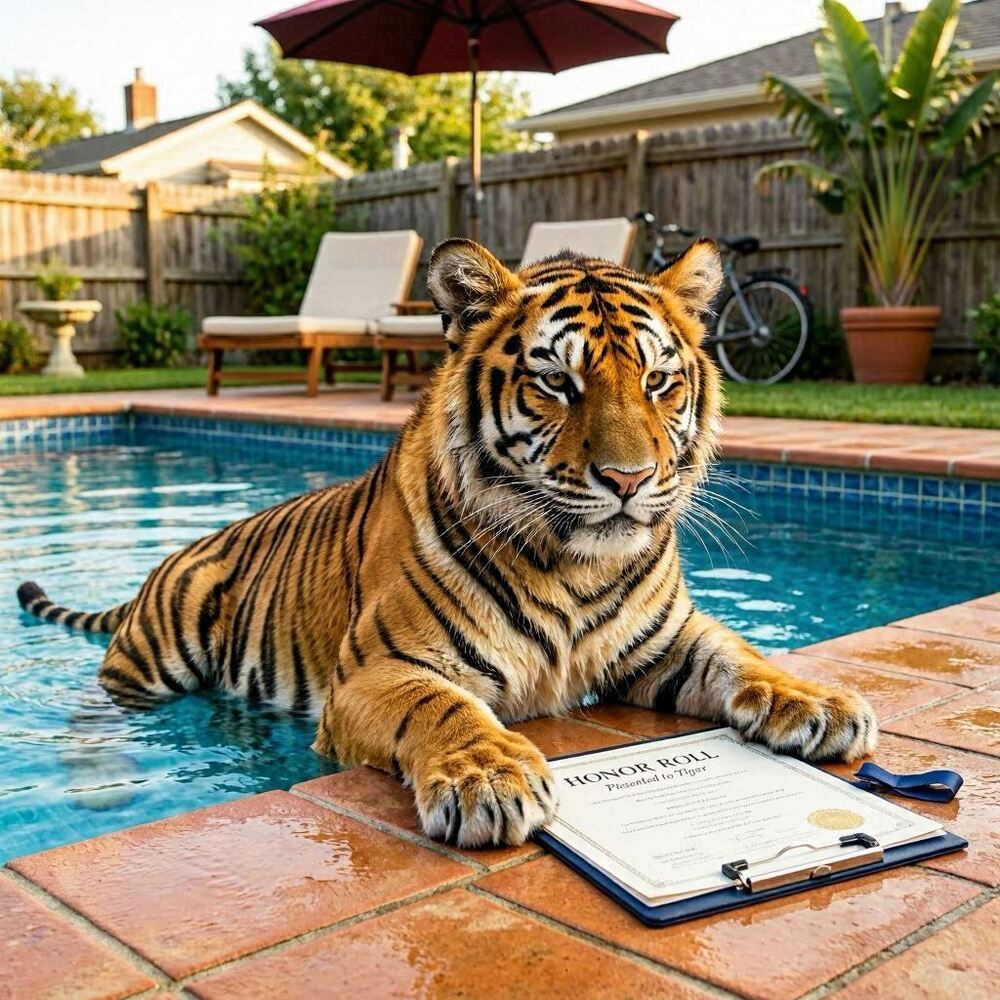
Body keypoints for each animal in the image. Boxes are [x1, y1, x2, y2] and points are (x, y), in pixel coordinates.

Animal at [17, 237, 877, 848]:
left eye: (658, 381)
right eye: (557, 383)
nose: (629, 479)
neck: (575, 564)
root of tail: (176, 557)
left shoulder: (664, 640)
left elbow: (743, 655)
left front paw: (818, 703)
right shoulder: (375, 670)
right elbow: (442, 706)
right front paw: (488, 777)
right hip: (160, 648)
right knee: (96, 705)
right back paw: (99, 775)